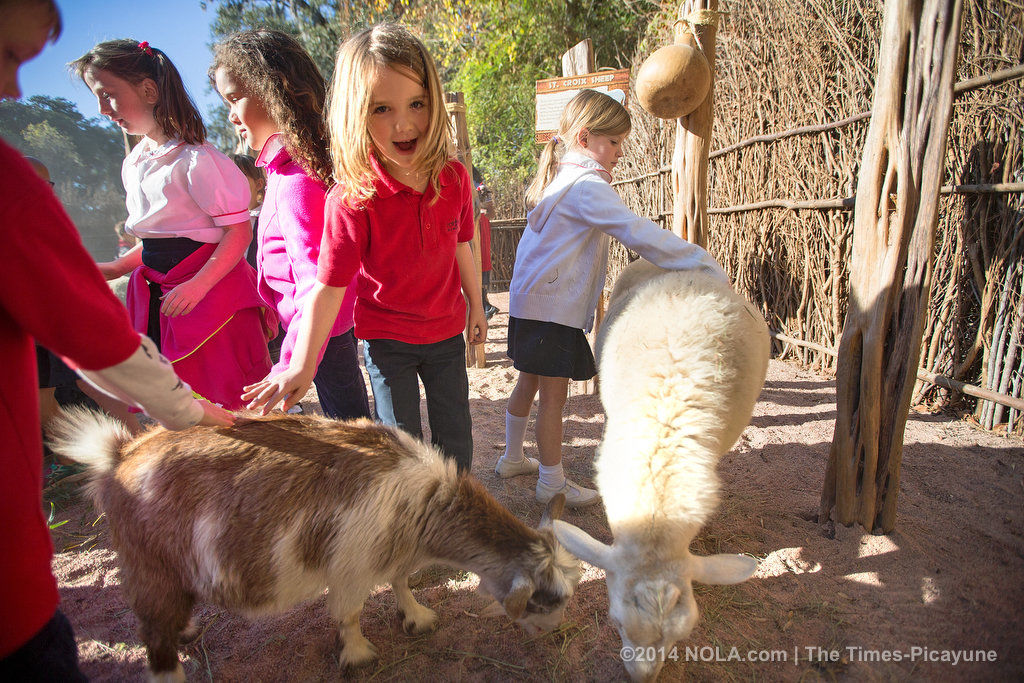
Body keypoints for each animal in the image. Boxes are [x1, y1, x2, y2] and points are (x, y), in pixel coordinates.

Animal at [48, 409, 581, 679]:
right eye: (540, 601)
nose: (557, 634)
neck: (425, 502)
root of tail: (120, 455)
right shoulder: (350, 564)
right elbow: (348, 613)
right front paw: (359, 654)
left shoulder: (394, 551)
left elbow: (402, 581)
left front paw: (417, 617)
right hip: (148, 564)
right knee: (154, 637)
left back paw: (187, 629)